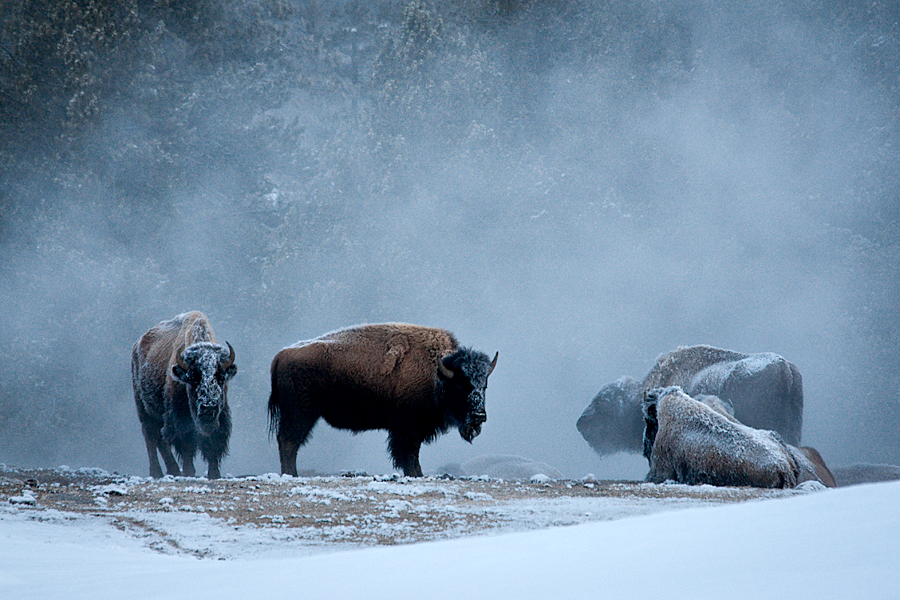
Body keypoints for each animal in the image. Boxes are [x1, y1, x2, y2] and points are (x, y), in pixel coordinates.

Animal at [132, 312, 236, 480]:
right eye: (193, 378)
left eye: (220, 377)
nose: (208, 408)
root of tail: (137, 345)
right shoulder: (179, 419)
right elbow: (186, 444)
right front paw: (188, 472)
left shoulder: (221, 419)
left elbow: (213, 444)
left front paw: (214, 474)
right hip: (143, 409)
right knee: (151, 436)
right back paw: (157, 472)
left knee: (161, 439)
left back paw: (173, 470)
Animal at [268, 324, 500, 478]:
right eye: (461, 386)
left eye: (484, 386)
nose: (479, 416)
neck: (438, 372)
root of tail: (281, 355)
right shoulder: (409, 427)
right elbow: (409, 453)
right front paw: (416, 474)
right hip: (301, 414)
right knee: (289, 441)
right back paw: (291, 474)